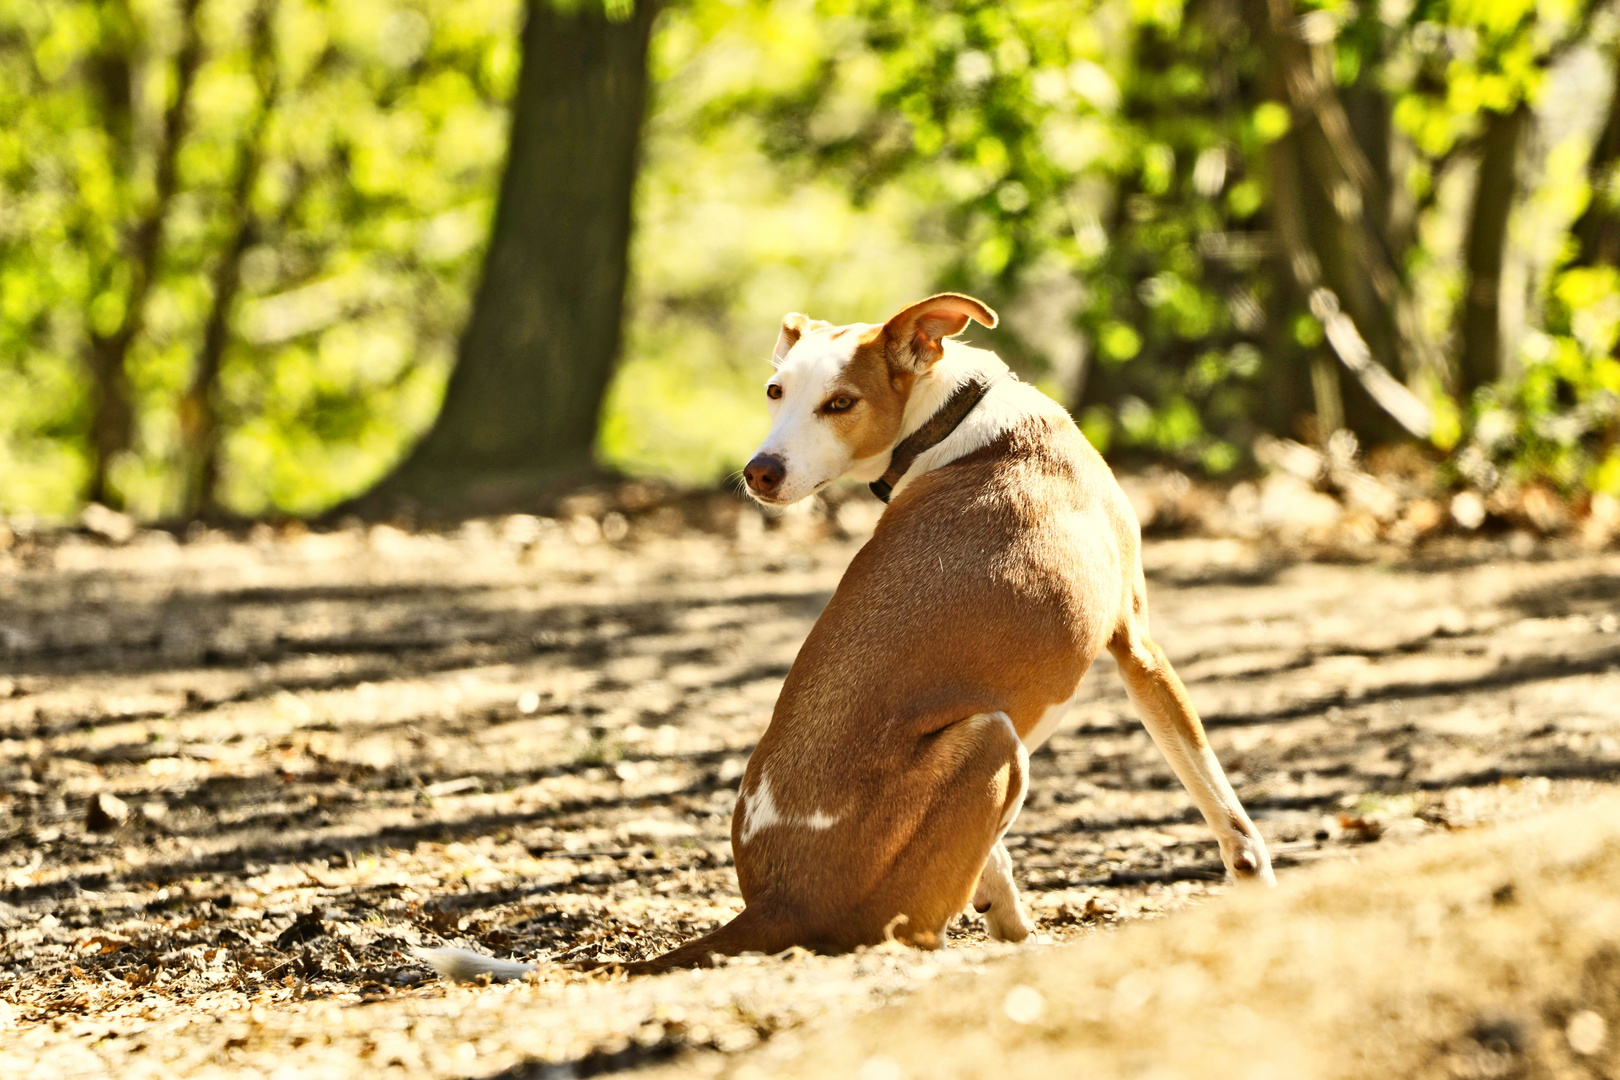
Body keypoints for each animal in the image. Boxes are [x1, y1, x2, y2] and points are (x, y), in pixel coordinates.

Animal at [421, 293, 1276, 977]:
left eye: (839, 402)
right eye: (775, 391)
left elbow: (997, 865)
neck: (953, 419)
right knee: (915, 931)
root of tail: (774, 904)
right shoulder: (1138, 643)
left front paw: (1007, 915)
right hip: (993, 736)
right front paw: (1256, 884)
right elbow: (1218, 795)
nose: (759, 471)